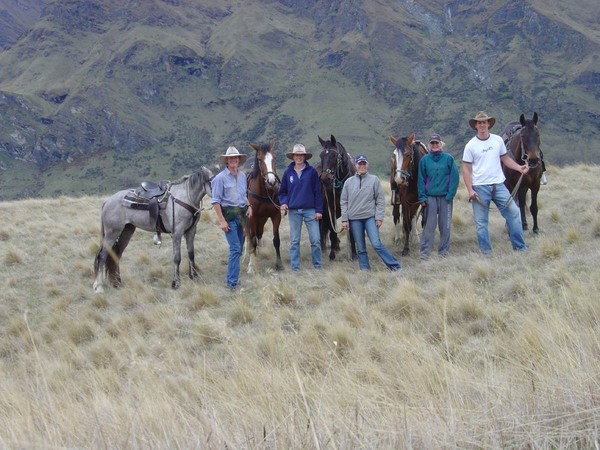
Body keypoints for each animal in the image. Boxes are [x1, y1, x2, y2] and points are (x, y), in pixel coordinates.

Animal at [244, 141, 284, 272]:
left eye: (274, 158)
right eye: (260, 159)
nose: (271, 182)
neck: (264, 193)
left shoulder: (275, 215)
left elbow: (276, 240)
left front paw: (279, 264)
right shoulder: (252, 217)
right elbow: (252, 240)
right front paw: (251, 266)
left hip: (262, 220)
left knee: (259, 234)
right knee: (248, 237)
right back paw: (247, 257)